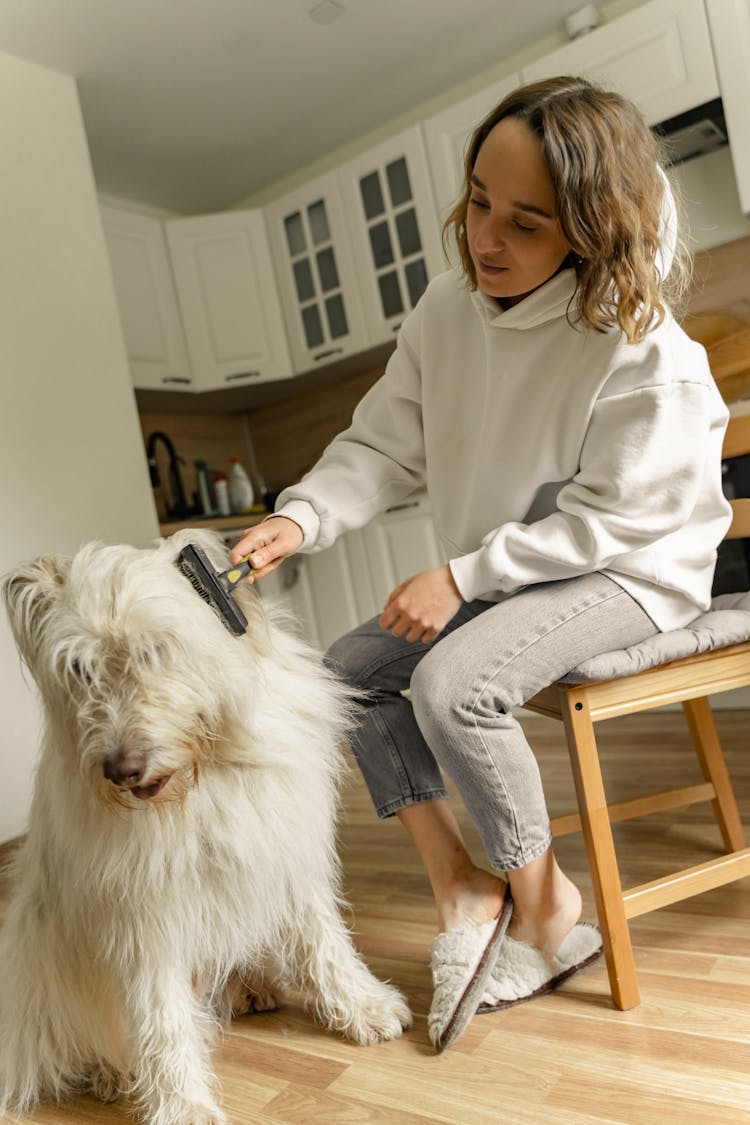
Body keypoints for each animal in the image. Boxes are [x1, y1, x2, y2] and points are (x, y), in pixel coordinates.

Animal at [0, 528, 411, 1125]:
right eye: (81, 669)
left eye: (154, 650)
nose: (120, 769)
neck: (198, 785)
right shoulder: (143, 920)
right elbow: (161, 1019)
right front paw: (182, 1105)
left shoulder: (285, 855)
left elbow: (324, 943)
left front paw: (361, 1005)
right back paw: (113, 1072)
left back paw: (251, 985)